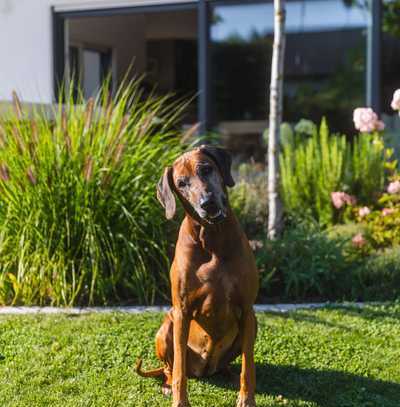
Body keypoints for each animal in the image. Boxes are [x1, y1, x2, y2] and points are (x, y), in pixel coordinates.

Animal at [138, 145, 260, 406]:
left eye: (206, 169)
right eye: (181, 183)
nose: (208, 203)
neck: (211, 237)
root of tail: (204, 369)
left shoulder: (247, 309)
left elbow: (248, 366)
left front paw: (246, 398)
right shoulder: (182, 311)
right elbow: (179, 372)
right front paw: (179, 400)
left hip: (251, 325)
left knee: (234, 363)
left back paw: (229, 374)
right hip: (167, 326)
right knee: (170, 368)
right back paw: (166, 384)